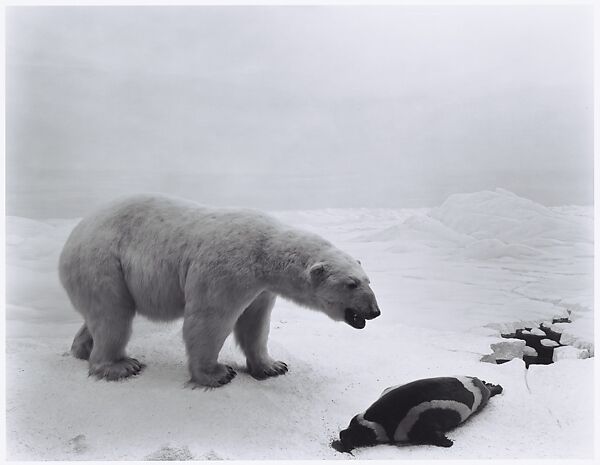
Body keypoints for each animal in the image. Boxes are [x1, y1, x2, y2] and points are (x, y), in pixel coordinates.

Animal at [59, 194, 380, 386]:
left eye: (368, 280)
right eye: (351, 284)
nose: (375, 311)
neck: (265, 252)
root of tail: (72, 237)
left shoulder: (261, 289)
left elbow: (255, 324)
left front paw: (273, 366)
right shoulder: (227, 269)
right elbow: (209, 319)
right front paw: (216, 373)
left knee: (101, 316)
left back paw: (82, 349)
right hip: (103, 264)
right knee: (114, 315)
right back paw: (120, 365)